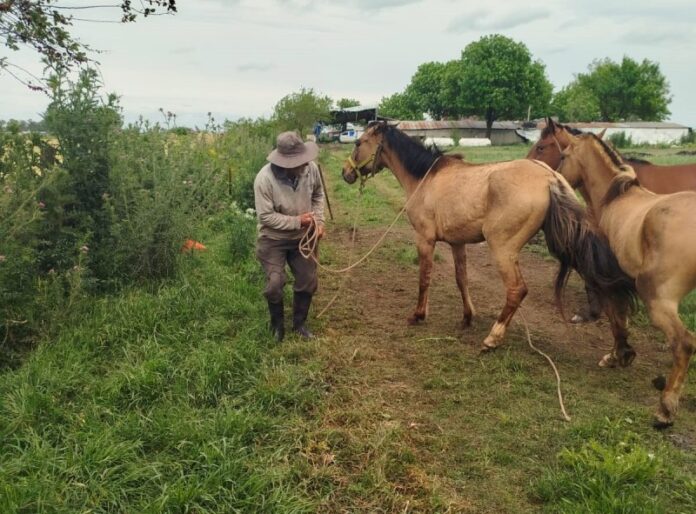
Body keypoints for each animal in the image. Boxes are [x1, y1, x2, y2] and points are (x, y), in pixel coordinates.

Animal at [341, 121, 635, 356]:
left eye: (358, 142)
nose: (346, 172)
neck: (425, 177)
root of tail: (549, 178)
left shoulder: (425, 239)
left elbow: (424, 278)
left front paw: (418, 315)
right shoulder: (457, 243)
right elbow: (461, 279)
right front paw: (467, 317)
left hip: (503, 249)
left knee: (517, 290)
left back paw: (492, 338)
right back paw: (620, 350)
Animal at [557, 131, 696, 427]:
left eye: (563, 156)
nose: (558, 178)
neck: (615, 200)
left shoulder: (610, 282)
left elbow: (616, 318)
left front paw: (618, 355)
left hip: (657, 299)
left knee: (684, 343)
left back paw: (665, 409)